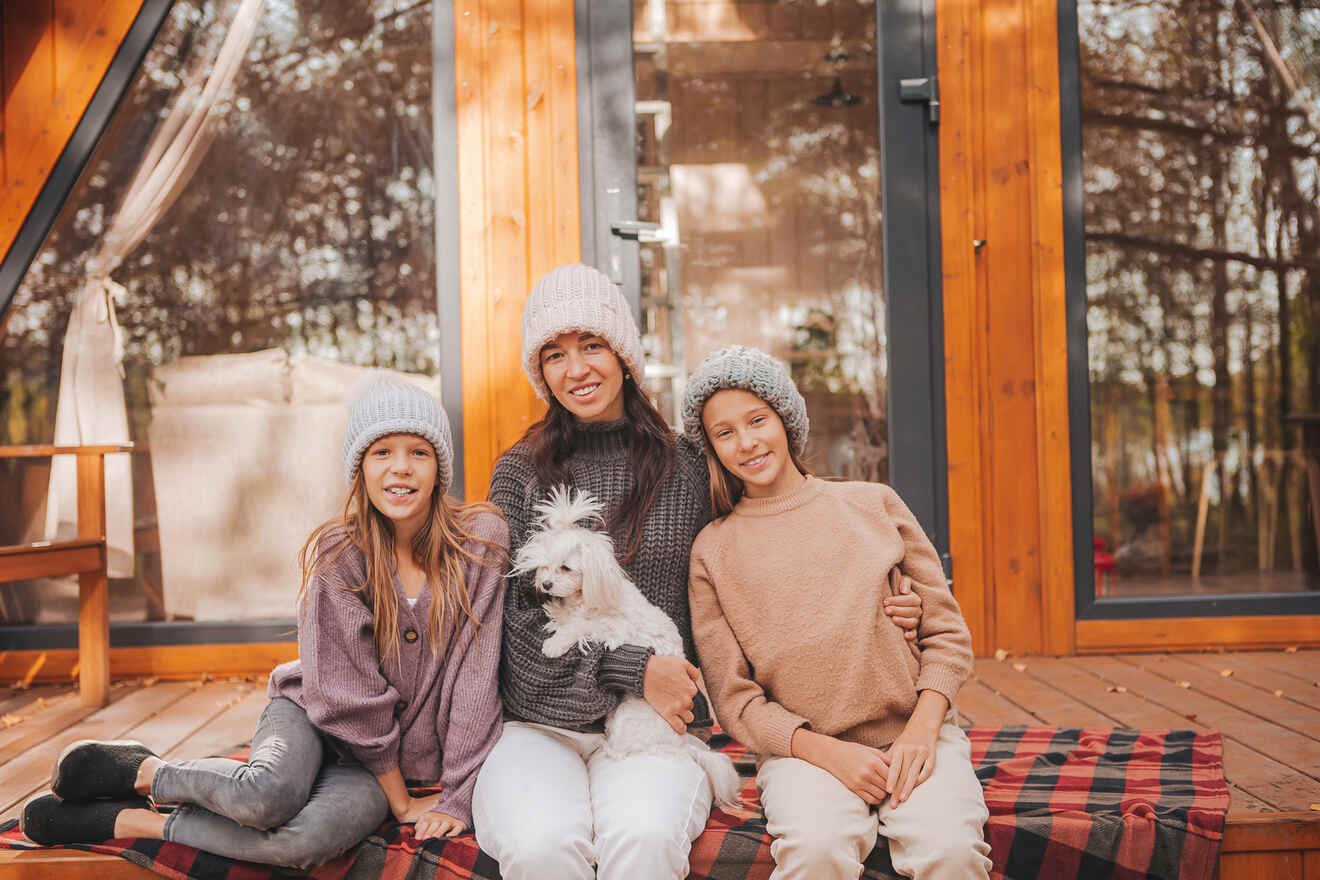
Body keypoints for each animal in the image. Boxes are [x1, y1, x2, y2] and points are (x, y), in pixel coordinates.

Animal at [509, 485, 744, 807]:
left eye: (566, 568)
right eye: (543, 566)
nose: (544, 584)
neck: (591, 593)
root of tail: (681, 745)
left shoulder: (612, 627)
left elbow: (580, 627)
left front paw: (555, 643)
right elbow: (566, 616)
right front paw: (555, 613)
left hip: (627, 721)